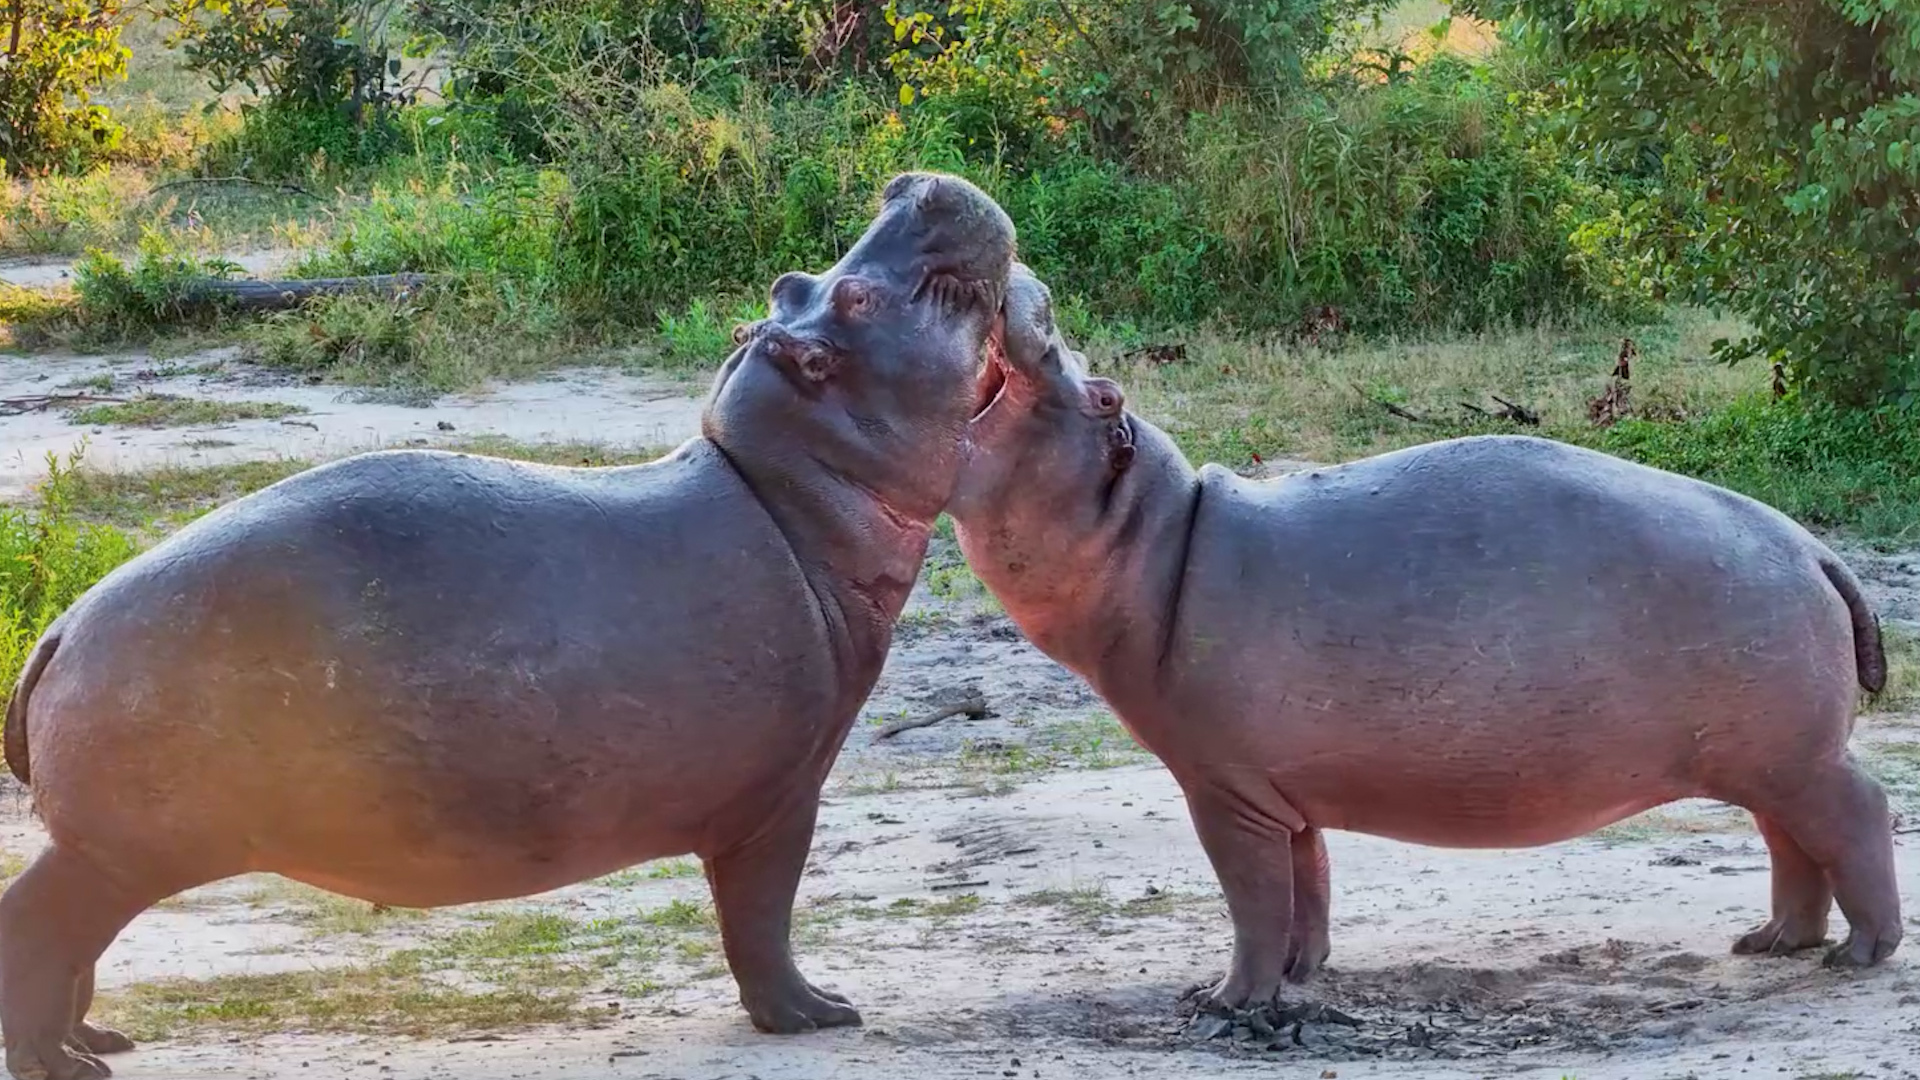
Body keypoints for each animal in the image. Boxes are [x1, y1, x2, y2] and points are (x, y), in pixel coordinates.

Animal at [0, 173, 1015, 1080]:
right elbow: (760, 920)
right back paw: (61, 1062)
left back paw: (100, 1042)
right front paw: (819, 1013)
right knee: (38, 924)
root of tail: (60, 632)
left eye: (793, 283)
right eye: (854, 295)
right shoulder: (779, 800)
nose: (916, 184)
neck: (789, 483)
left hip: (110, 848)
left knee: (73, 941)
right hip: (122, 849)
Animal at [949, 265, 1902, 1012]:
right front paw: (1300, 975)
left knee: (1859, 811)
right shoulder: (1280, 789)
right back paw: (1772, 941)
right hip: (1767, 759)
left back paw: (1861, 954)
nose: (1033, 285)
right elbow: (1307, 884)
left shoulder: (1224, 791)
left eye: (1104, 394)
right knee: (1791, 840)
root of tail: (1813, 547)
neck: (1152, 533)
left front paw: (1228, 1001)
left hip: (1795, 757)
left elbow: (1253, 898)